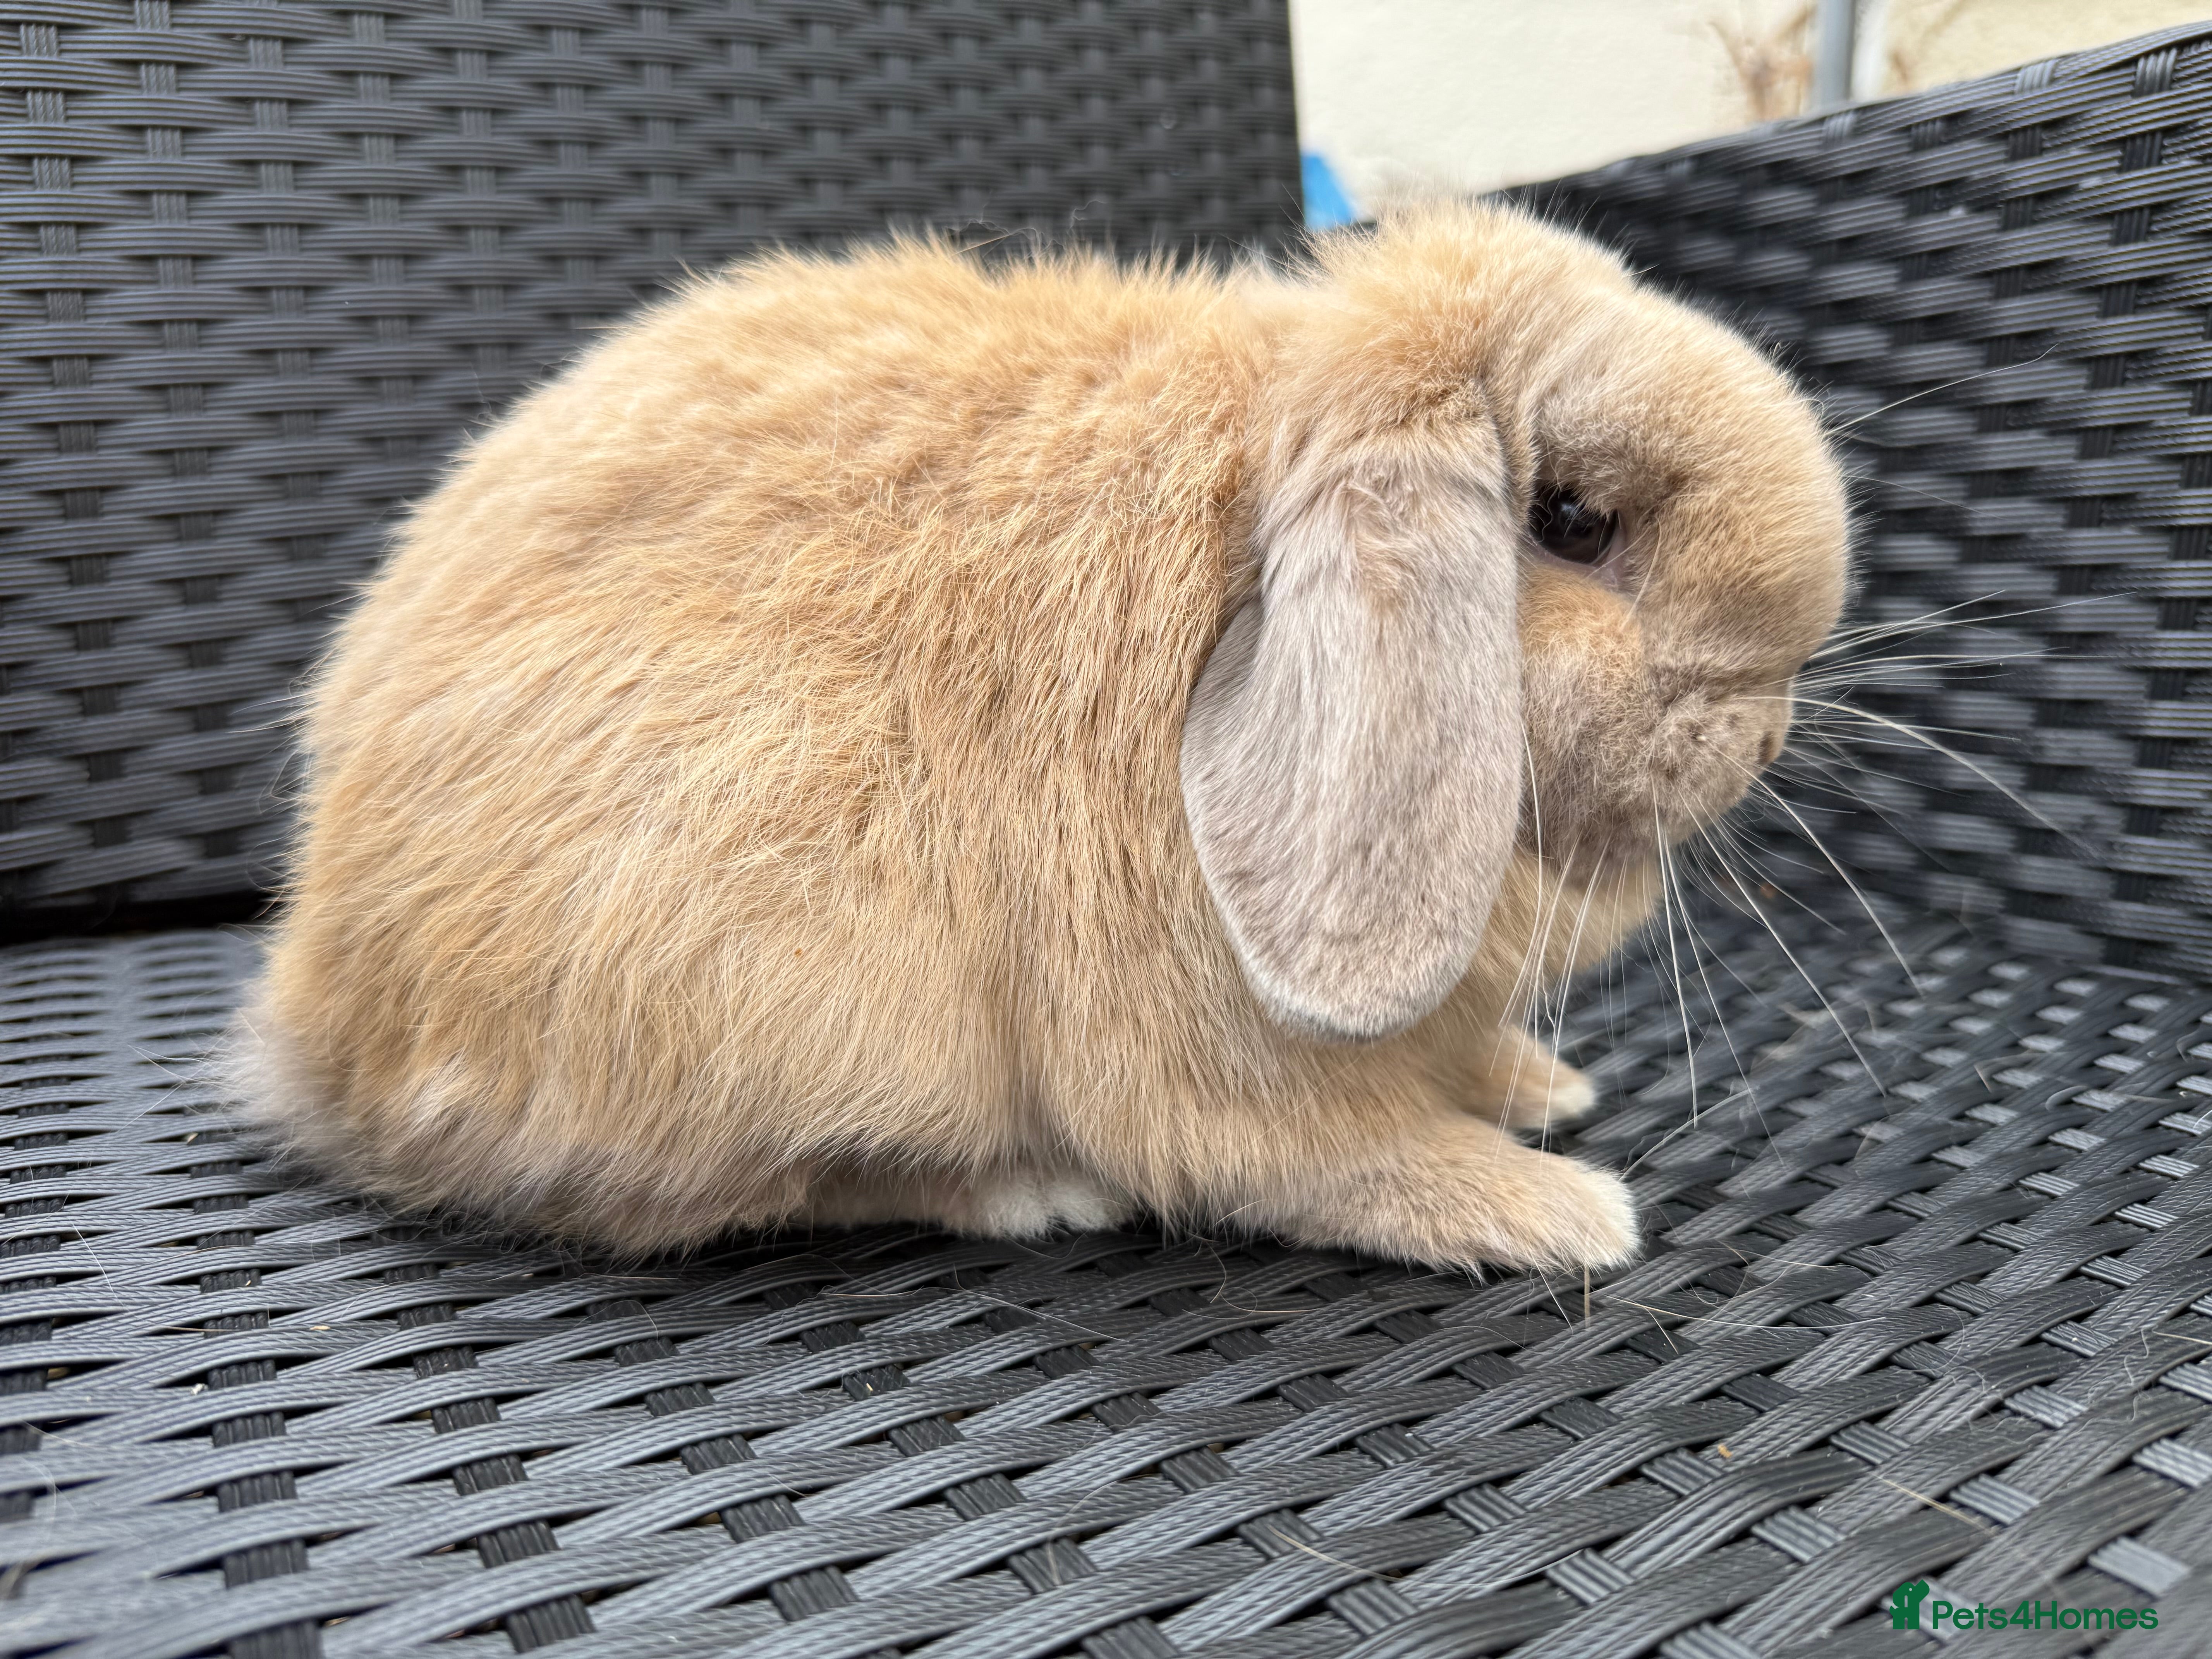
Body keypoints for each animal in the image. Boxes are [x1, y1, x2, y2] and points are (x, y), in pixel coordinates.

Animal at [228, 200, 1848, 1272]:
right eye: (1572, 519)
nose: (1767, 737)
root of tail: (315, 1036)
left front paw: (1540, 1086)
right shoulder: (1214, 1060)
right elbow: (1341, 1157)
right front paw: (1561, 1213)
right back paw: (1030, 1190)